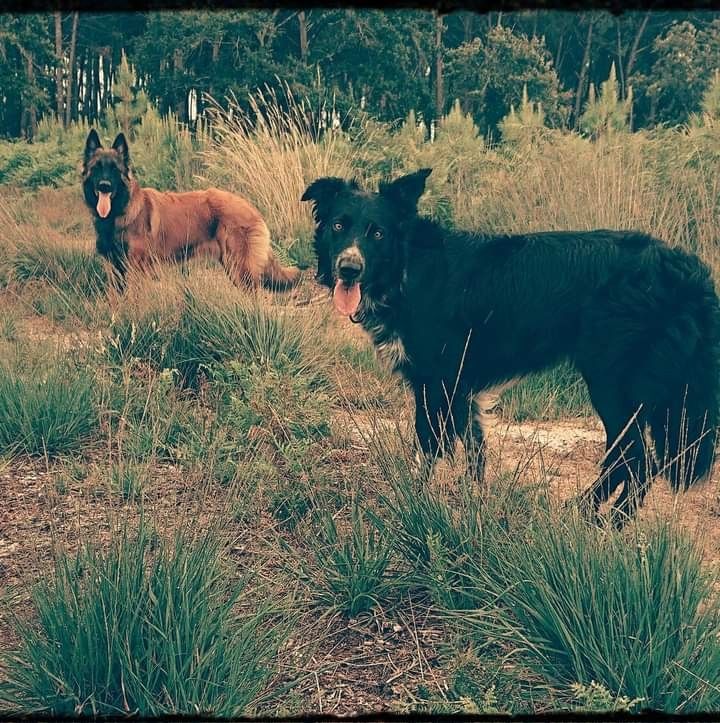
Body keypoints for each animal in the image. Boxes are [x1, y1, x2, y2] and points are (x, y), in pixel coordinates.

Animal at [83, 129, 300, 290]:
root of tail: (250, 206)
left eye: (114, 169)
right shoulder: (115, 269)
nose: (104, 186)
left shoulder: (136, 268)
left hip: (239, 267)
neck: (120, 211)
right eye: (97, 167)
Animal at [302, 170, 720, 528]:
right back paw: (583, 514)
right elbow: (474, 454)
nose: (349, 268)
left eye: (377, 233)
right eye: (339, 225)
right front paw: (474, 505)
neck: (407, 269)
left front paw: (413, 506)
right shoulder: (460, 389)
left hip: (611, 382)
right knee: (627, 459)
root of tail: (688, 269)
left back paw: (606, 523)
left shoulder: (438, 382)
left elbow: (429, 449)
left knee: (635, 460)